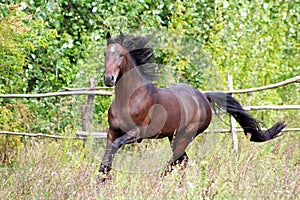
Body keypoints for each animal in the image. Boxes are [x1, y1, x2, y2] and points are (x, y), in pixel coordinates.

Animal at [99, 32, 286, 177]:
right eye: (105, 54)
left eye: (121, 55)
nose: (109, 79)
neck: (129, 99)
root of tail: (203, 96)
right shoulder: (112, 131)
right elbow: (108, 153)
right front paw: (102, 178)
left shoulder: (138, 132)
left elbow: (116, 146)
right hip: (174, 136)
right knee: (182, 160)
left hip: (185, 135)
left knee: (177, 161)